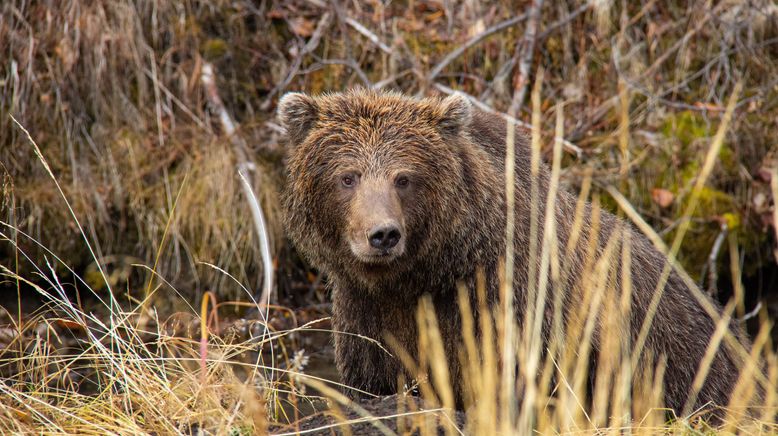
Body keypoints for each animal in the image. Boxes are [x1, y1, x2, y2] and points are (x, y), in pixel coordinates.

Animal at [278, 88, 752, 418]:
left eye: (404, 177)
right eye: (348, 176)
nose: (383, 235)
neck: (428, 274)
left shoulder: (516, 307)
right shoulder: (369, 318)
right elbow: (375, 380)